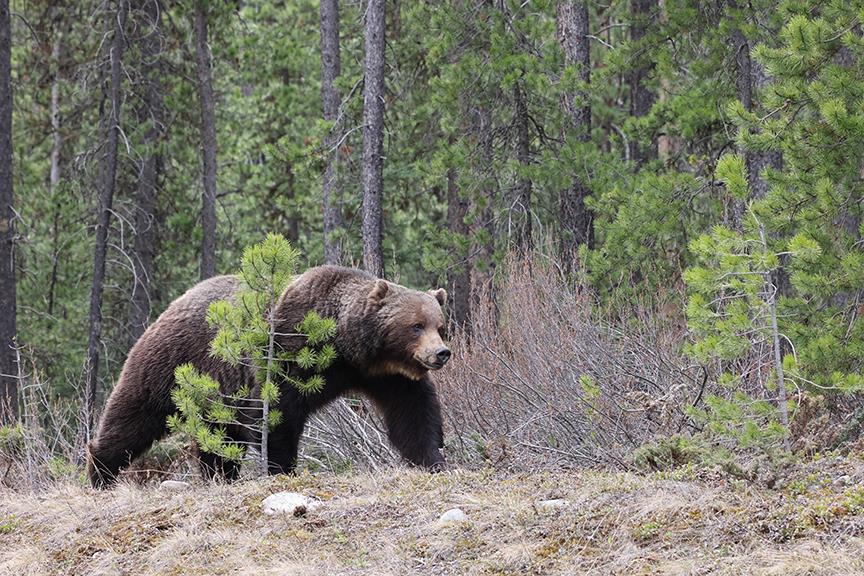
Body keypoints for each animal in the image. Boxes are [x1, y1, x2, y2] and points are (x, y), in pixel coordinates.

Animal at [88, 264, 452, 486]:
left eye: (440, 325)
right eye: (415, 325)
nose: (441, 353)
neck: (344, 344)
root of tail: (176, 301)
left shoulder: (387, 375)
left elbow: (413, 413)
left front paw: (433, 459)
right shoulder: (288, 350)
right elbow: (277, 412)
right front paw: (281, 467)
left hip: (215, 393)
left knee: (217, 437)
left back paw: (219, 475)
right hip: (171, 362)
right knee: (134, 415)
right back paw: (101, 471)